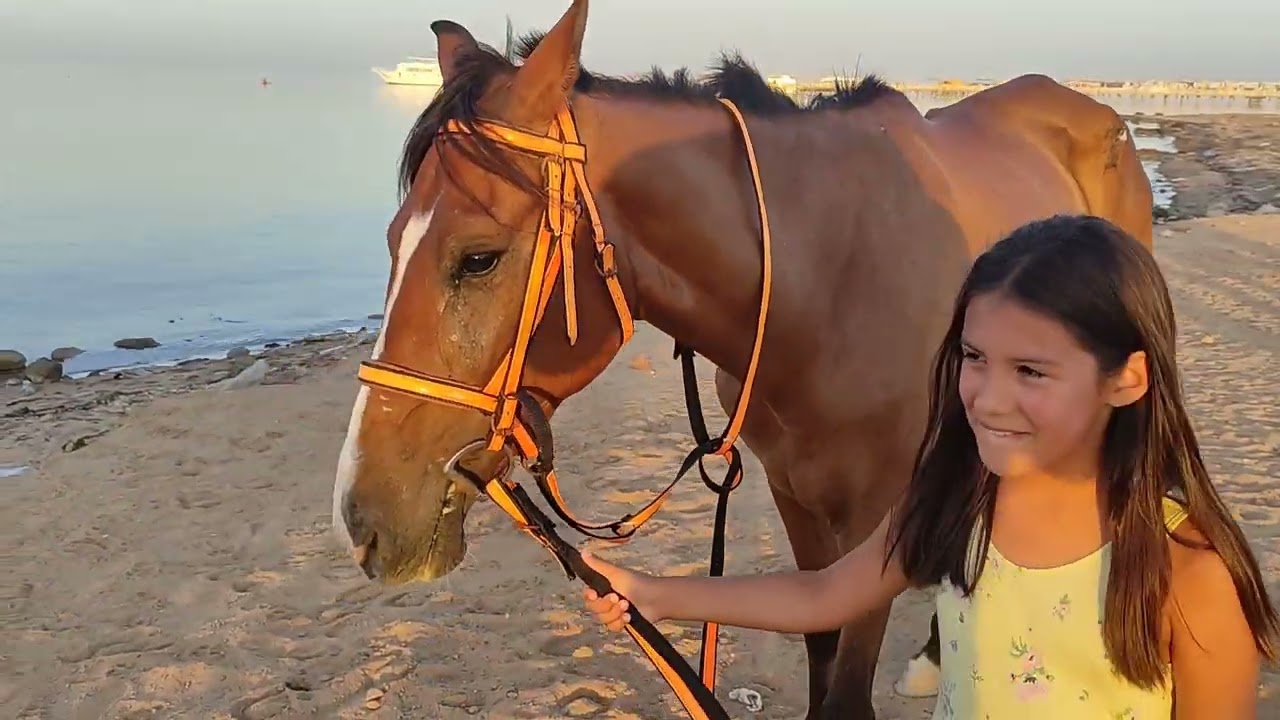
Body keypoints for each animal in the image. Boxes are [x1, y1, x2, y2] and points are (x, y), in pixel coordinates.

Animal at [331, 1, 1154, 717]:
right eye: (392, 239)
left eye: (477, 258)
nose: (362, 518)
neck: (821, 282)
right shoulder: (796, 495)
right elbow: (820, 646)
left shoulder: (878, 511)